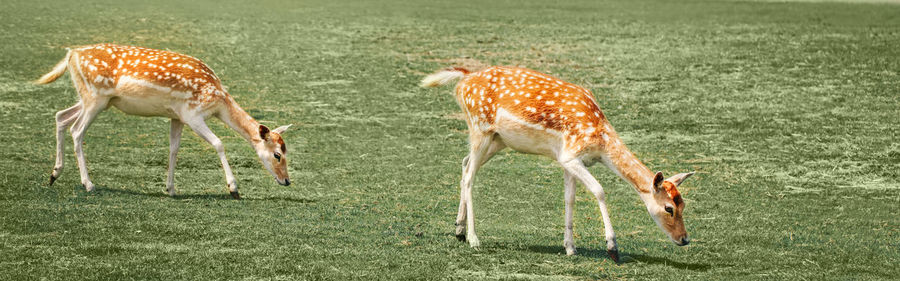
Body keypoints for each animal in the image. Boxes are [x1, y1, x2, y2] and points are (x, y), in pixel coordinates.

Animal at [34, 42, 292, 198]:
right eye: (277, 155)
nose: (287, 181)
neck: (219, 101)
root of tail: (71, 54)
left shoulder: (176, 116)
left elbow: (173, 149)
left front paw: (171, 188)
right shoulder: (192, 113)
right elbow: (219, 143)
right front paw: (234, 189)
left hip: (96, 99)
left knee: (61, 117)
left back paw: (54, 174)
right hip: (95, 96)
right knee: (77, 131)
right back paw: (88, 184)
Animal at [422, 65, 696, 260]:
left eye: (683, 205)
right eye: (668, 208)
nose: (684, 239)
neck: (600, 141)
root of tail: (463, 80)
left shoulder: (570, 162)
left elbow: (569, 199)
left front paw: (570, 247)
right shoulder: (570, 156)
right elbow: (599, 190)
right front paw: (612, 247)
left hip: (497, 140)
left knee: (465, 163)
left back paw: (458, 230)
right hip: (479, 128)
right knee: (469, 176)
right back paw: (474, 239)